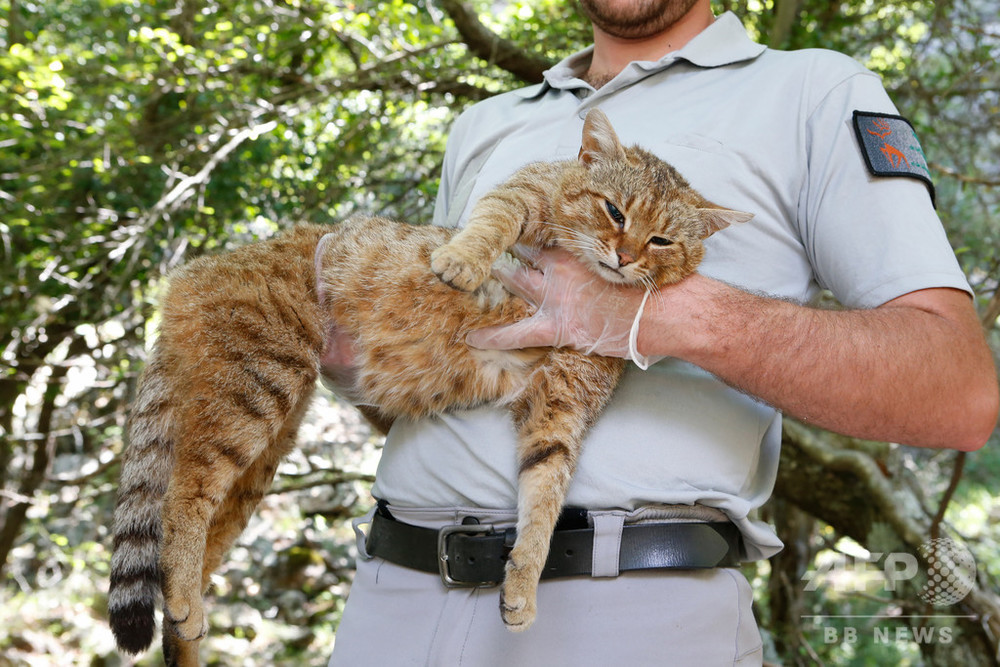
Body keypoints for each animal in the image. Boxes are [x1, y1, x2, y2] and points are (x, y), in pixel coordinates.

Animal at [107, 107, 752, 664]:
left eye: (661, 241)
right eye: (615, 212)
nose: (624, 257)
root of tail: (193, 272)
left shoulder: (560, 406)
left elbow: (545, 496)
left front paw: (523, 582)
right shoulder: (526, 192)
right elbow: (492, 219)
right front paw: (461, 260)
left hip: (261, 450)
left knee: (188, 539)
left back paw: (188, 622)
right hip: (256, 386)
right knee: (181, 498)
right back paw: (186, 599)